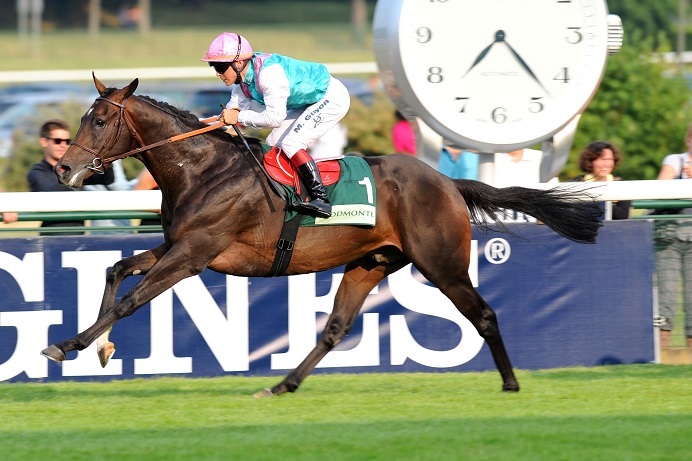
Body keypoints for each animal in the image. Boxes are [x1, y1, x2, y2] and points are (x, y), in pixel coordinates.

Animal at [40, 75, 600, 396]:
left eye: (101, 119)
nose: (63, 168)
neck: (201, 169)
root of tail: (445, 181)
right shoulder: (178, 244)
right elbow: (116, 269)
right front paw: (101, 348)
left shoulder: (195, 253)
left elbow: (131, 299)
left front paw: (68, 344)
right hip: (371, 262)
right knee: (334, 328)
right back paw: (282, 385)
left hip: (441, 262)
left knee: (483, 314)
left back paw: (510, 383)